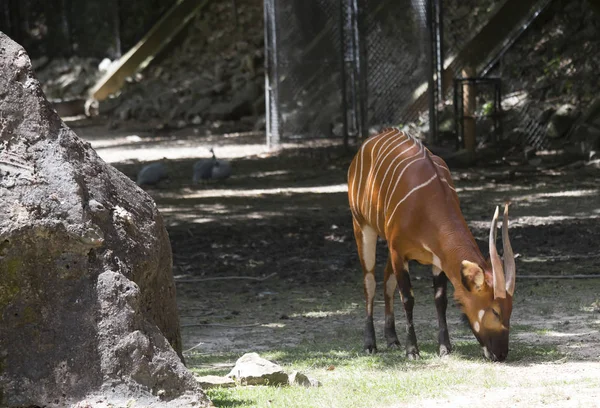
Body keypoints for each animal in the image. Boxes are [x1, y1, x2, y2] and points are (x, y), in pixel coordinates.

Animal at [346, 126, 516, 360]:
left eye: (510, 310)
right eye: (495, 311)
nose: (501, 354)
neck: (429, 202)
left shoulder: (437, 259)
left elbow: (440, 299)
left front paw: (445, 347)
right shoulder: (399, 252)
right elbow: (408, 298)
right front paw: (412, 350)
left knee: (386, 279)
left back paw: (392, 339)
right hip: (362, 226)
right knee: (369, 281)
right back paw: (370, 344)